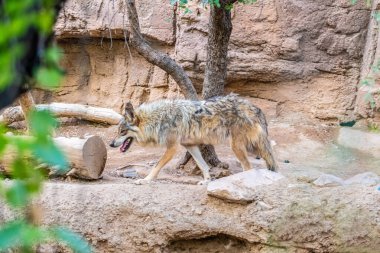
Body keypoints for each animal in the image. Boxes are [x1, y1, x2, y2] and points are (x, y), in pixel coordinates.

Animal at [108, 94, 278, 185]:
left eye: (122, 132)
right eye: (117, 131)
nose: (110, 144)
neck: (158, 119)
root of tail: (255, 107)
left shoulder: (172, 148)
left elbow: (156, 166)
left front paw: (145, 180)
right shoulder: (190, 146)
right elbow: (204, 166)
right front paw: (207, 181)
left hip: (238, 147)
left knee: (249, 167)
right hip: (252, 147)